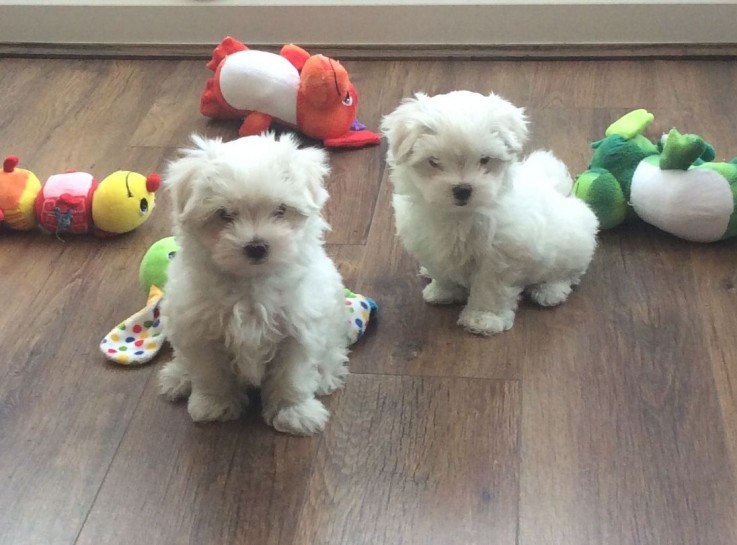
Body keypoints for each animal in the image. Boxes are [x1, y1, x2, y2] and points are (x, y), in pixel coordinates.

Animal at [158, 132, 348, 434]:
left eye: (281, 210)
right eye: (224, 214)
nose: (257, 247)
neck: (250, 285)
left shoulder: (298, 331)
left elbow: (292, 377)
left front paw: (294, 412)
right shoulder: (200, 332)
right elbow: (211, 373)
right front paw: (215, 405)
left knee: (332, 352)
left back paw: (327, 376)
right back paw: (178, 376)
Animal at [380, 91, 600, 334]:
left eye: (485, 160)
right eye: (434, 162)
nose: (463, 189)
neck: (459, 217)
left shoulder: (499, 258)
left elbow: (490, 289)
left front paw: (483, 318)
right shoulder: (430, 245)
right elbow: (441, 270)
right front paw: (443, 291)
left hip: (573, 243)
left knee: (569, 273)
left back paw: (550, 291)